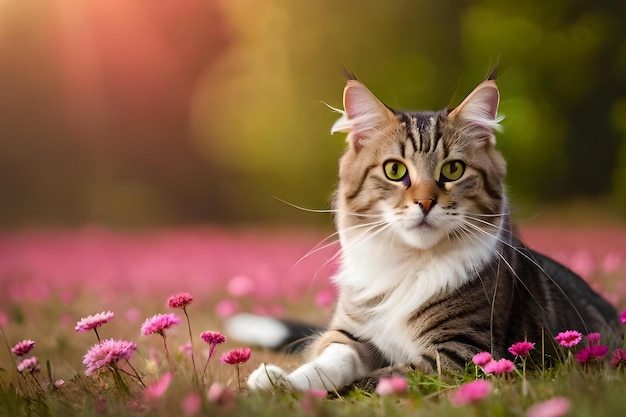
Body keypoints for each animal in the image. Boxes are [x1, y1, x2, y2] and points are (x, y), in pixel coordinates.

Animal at [233, 70, 620, 392]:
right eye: (394, 170)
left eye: (452, 170)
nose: (425, 202)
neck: (410, 262)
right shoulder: (351, 333)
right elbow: (330, 361)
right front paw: (281, 382)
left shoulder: (463, 352)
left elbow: (377, 380)